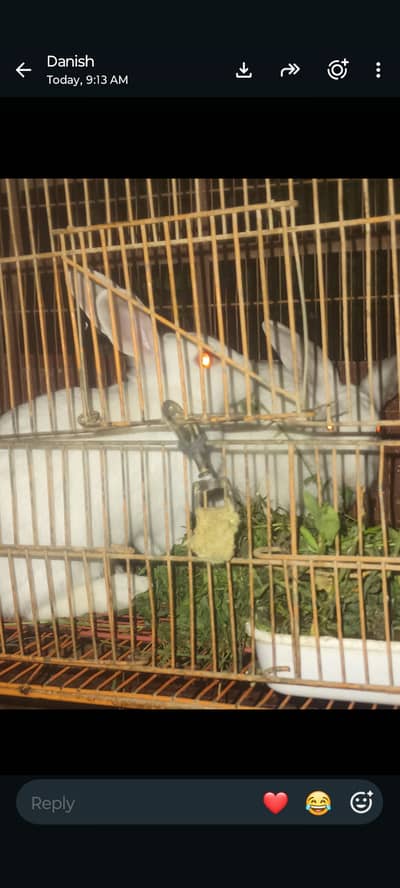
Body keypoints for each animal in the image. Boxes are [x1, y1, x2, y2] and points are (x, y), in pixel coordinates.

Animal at [0, 269, 261, 622]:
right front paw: (174, 553)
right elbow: (170, 539)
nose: (252, 372)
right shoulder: (167, 508)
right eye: (205, 359)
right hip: (68, 561)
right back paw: (128, 589)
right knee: (39, 609)